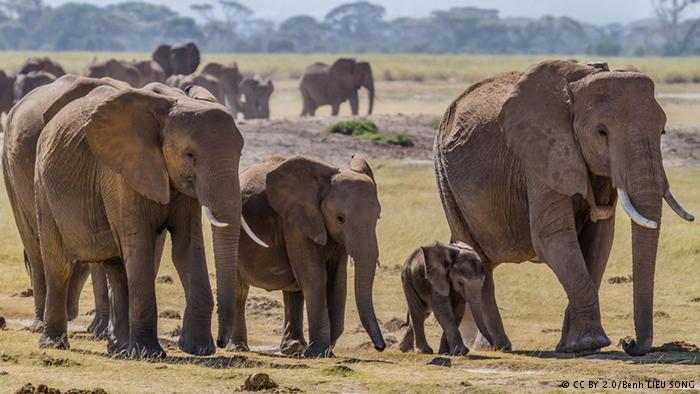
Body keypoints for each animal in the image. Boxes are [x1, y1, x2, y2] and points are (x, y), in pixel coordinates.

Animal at [30, 76, 266, 358]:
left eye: (240, 154)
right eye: (190, 155)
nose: (222, 342)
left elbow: (188, 248)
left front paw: (198, 349)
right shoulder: (121, 174)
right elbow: (140, 245)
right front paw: (150, 353)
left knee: (116, 265)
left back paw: (120, 349)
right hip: (42, 186)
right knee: (59, 262)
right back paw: (55, 343)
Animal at [228, 154, 382, 358]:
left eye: (378, 218)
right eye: (340, 219)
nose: (380, 347)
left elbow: (338, 282)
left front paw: (325, 352)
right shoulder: (295, 223)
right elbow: (314, 276)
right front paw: (317, 353)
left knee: (294, 289)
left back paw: (293, 349)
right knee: (240, 288)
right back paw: (239, 348)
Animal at [432, 59, 696, 358]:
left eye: (662, 131)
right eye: (601, 132)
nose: (629, 342)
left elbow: (600, 239)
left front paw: (575, 346)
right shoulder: (540, 154)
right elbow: (553, 237)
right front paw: (590, 343)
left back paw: (484, 346)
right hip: (444, 175)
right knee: (477, 256)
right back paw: (498, 346)